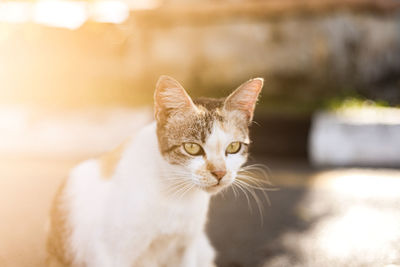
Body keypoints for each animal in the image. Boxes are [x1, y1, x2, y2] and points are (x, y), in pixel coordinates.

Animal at [47, 75, 264, 267]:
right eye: (192, 148)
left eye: (234, 147)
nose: (220, 173)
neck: (174, 194)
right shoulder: (111, 252)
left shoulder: (185, 247)